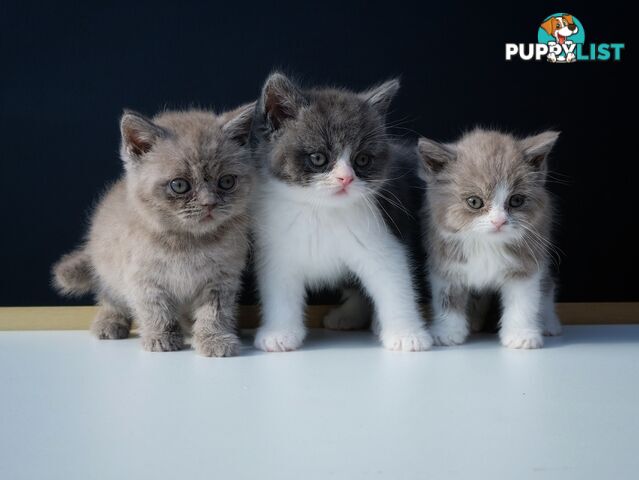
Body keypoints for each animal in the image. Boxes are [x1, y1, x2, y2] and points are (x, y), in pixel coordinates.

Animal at [52, 105, 256, 354]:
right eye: (179, 185)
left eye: (226, 181)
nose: (209, 203)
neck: (189, 242)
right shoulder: (143, 277)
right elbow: (156, 309)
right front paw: (161, 338)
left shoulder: (221, 278)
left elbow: (215, 311)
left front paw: (214, 338)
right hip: (108, 266)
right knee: (110, 296)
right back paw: (109, 323)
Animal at [250, 74, 436, 352]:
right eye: (318, 158)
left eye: (362, 160)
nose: (346, 178)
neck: (321, 212)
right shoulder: (277, 248)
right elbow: (279, 291)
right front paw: (280, 333)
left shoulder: (379, 237)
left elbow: (394, 283)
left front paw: (407, 334)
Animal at [418, 127, 564, 348]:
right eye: (474, 202)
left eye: (516, 200)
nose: (499, 221)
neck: (487, 245)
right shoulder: (446, 260)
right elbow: (447, 298)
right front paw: (447, 332)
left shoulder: (526, 262)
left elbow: (523, 301)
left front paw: (521, 336)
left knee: (547, 285)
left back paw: (549, 323)